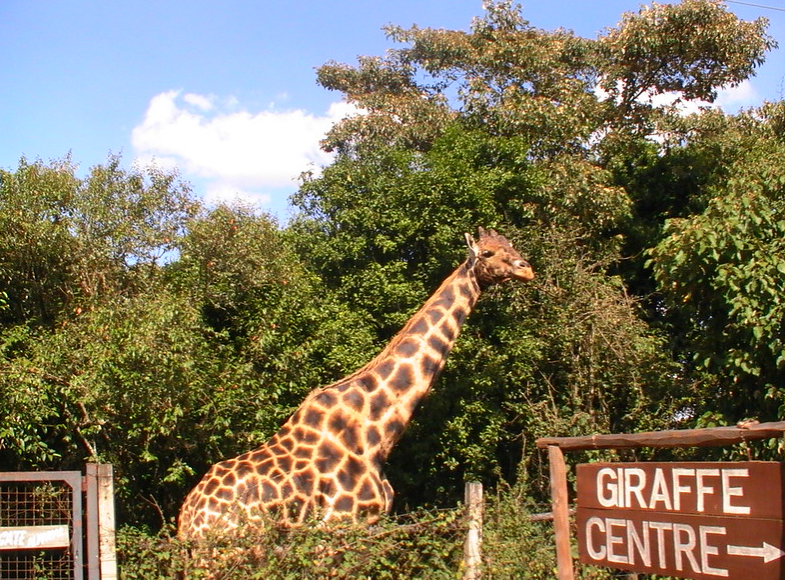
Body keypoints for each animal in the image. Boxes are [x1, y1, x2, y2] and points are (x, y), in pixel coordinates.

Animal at [178, 227, 532, 540]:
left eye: (512, 246)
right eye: (487, 253)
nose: (526, 269)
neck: (375, 431)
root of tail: (187, 520)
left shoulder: (367, 524)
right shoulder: (340, 522)